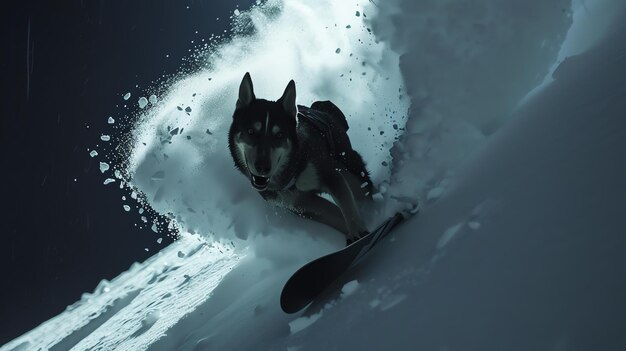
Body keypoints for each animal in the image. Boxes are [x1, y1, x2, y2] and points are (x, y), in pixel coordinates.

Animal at [230, 73, 372, 246]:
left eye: (279, 135)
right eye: (250, 131)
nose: (263, 167)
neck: (292, 168)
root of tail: (318, 108)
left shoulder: (329, 174)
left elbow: (347, 207)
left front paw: (360, 233)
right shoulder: (301, 204)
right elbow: (336, 215)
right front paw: (354, 237)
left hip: (348, 164)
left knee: (362, 189)